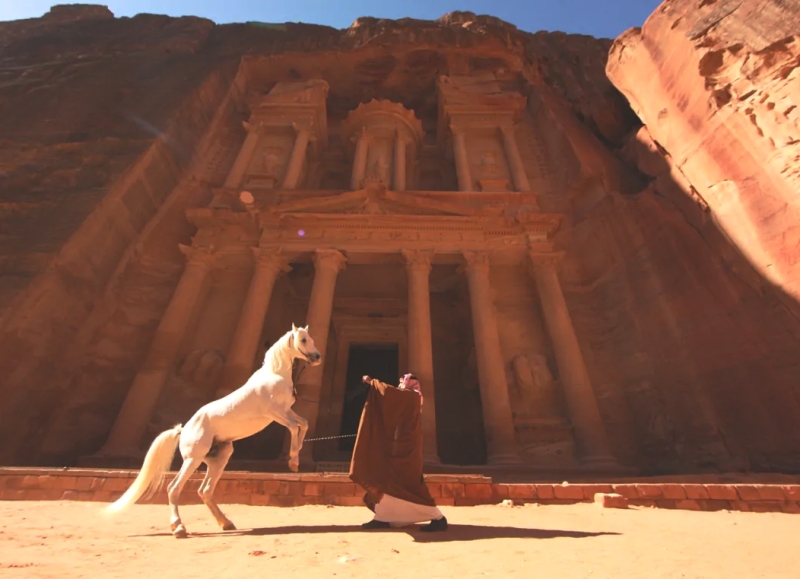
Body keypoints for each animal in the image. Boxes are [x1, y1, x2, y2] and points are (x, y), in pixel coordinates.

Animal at [104, 326, 322, 540]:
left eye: (311, 338)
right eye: (303, 340)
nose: (317, 357)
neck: (274, 375)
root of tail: (183, 429)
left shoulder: (286, 411)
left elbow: (304, 424)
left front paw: (295, 459)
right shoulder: (274, 413)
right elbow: (294, 427)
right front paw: (293, 460)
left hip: (219, 459)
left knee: (205, 491)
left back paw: (226, 523)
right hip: (193, 459)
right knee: (174, 488)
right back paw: (179, 528)